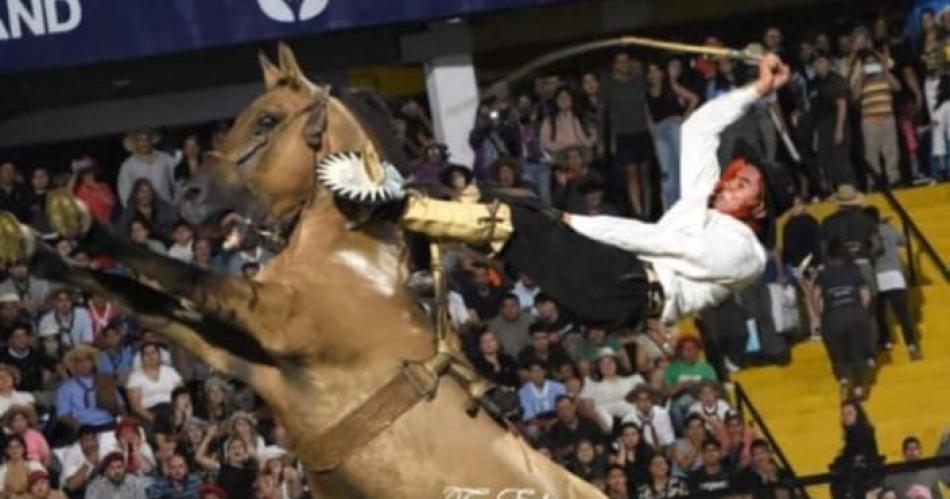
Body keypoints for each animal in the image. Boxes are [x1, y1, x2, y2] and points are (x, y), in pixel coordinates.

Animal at [0, 45, 608, 498]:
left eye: (266, 120)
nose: (191, 195)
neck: (350, 263)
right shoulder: (247, 356)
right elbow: (143, 299)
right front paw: (35, 247)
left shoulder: (274, 319)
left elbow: (180, 277)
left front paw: (83, 227)